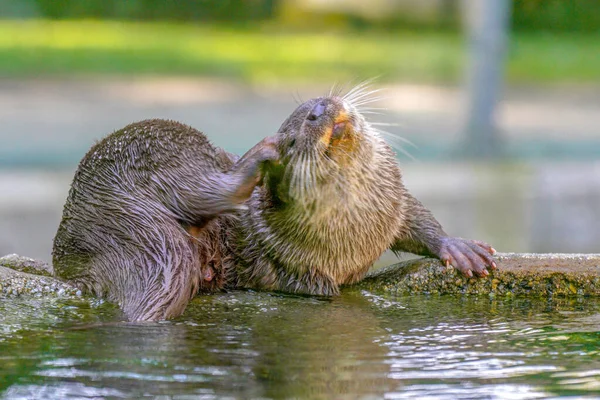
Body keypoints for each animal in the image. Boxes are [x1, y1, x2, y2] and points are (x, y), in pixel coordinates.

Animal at [54, 87, 496, 322]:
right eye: (297, 136)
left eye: (318, 101)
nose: (319, 111)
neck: (357, 226)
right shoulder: (284, 262)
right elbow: (309, 286)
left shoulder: (393, 204)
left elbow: (416, 219)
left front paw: (459, 248)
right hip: (166, 158)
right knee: (207, 189)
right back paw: (258, 156)